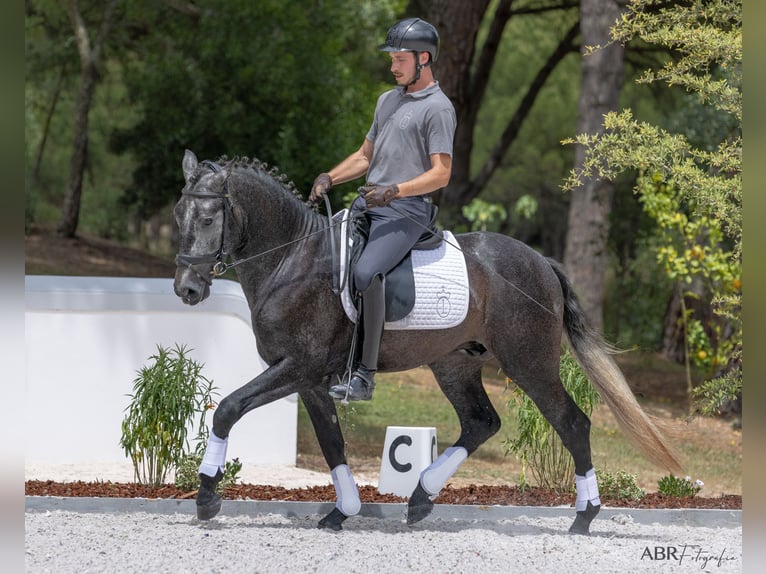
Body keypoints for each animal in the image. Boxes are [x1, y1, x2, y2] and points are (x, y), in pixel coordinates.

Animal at [171, 152, 680, 536]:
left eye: (210, 217)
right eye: (179, 215)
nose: (186, 289)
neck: (291, 259)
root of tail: (541, 261)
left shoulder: (299, 366)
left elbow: (228, 408)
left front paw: (207, 497)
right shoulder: (309, 379)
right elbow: (332, 442)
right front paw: (342, 512)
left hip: (529, 363)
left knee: (572, 423)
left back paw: (583, 517)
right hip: (455, 364)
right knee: (481, 422)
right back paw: (419, 498)